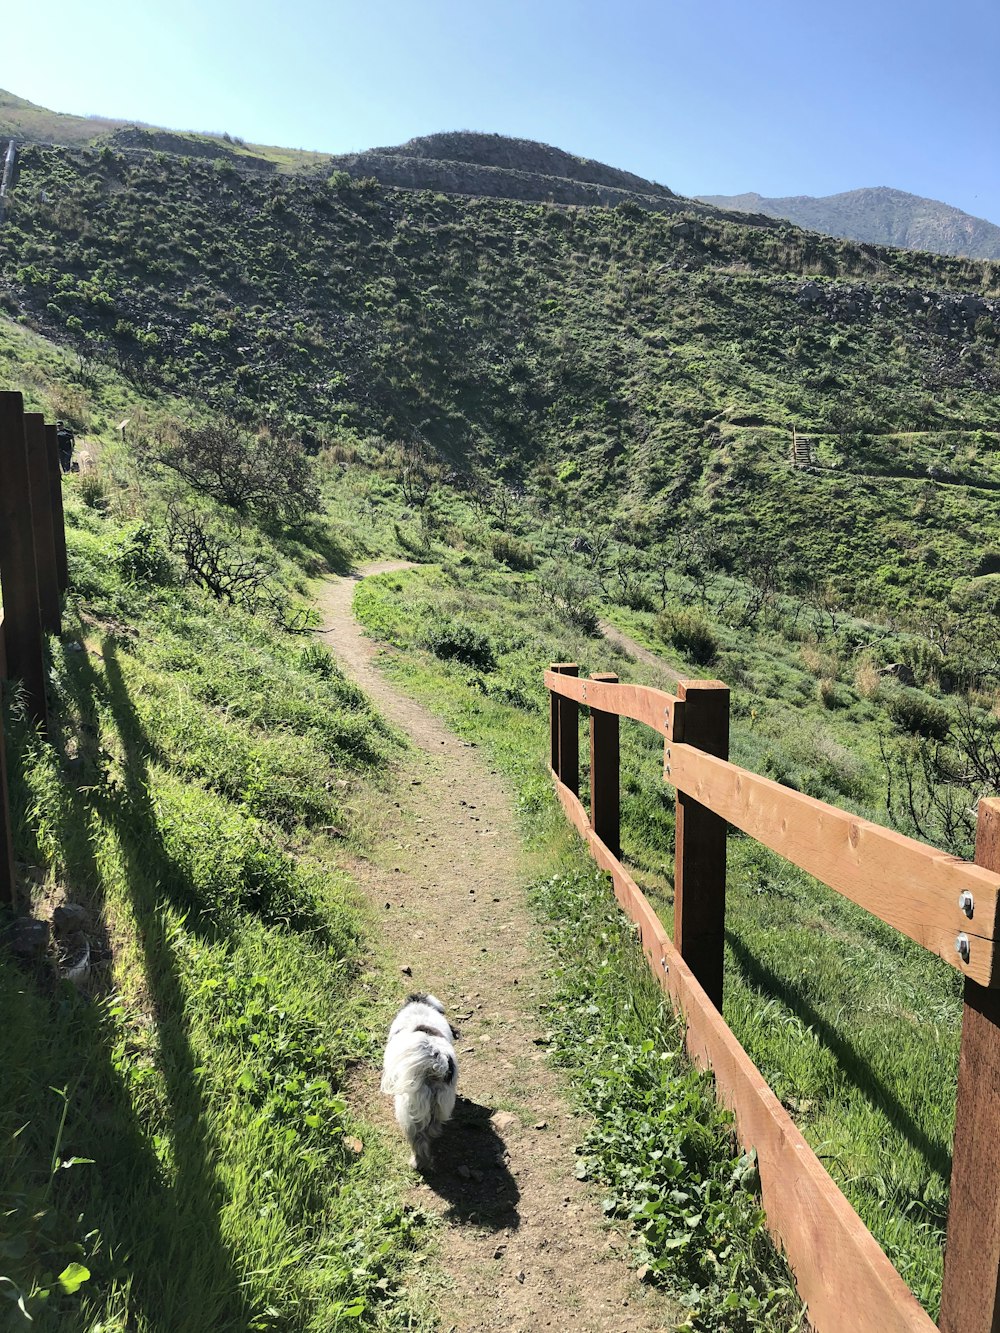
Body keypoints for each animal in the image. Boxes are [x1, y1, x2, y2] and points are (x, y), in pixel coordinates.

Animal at [381, 991, 461, 1167]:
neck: (419, 1010)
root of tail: (435, 1064)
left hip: (408, 1111)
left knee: (418, 1140)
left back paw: (417, 1162)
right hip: (440, 1105)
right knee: (431, 1130)